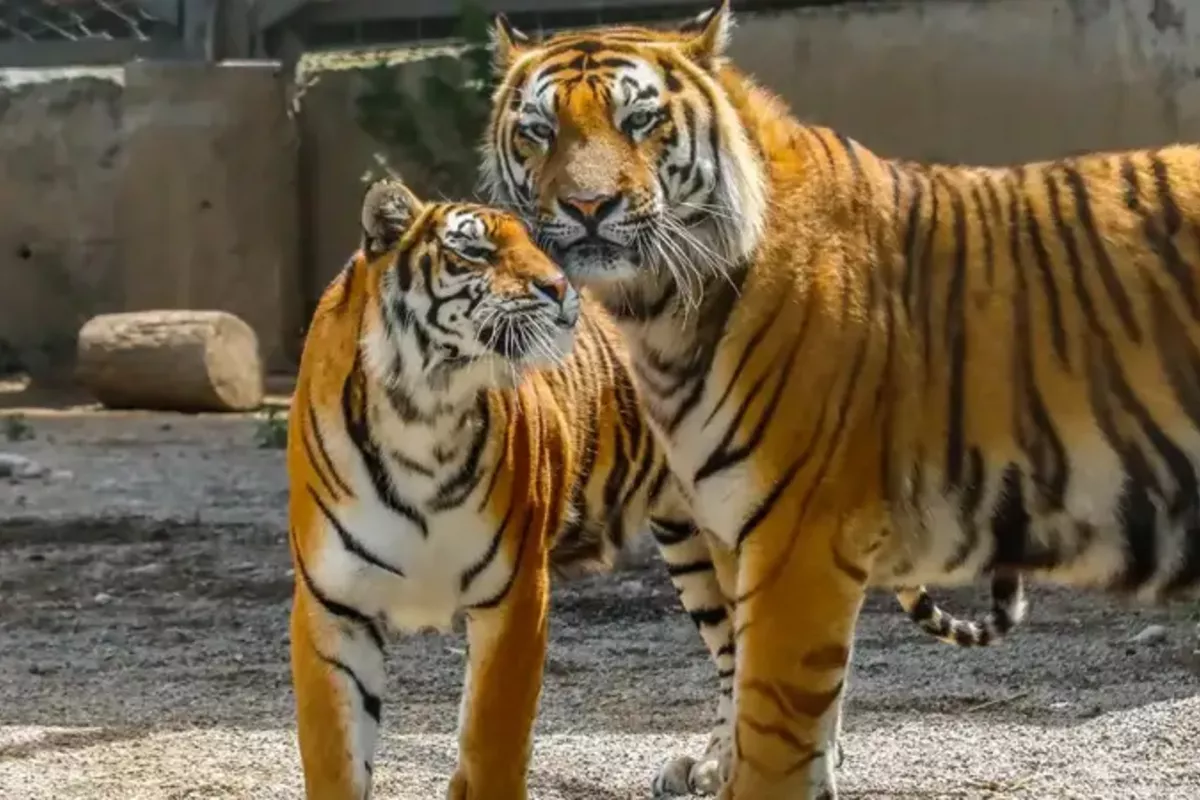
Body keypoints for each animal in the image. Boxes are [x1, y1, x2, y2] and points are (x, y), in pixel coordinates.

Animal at [286, 176, 1025, 798]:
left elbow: (493, 745)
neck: (425, 410)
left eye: (538, 247)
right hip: (690, 542)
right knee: (736, 658)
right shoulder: (332, 605)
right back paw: (715, 764)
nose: (560, 290)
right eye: (474, 251)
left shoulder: (516, 593)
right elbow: (335, 757)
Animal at [480, 2, 1200, 798]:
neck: (663, 310)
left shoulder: (799, 535)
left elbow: (773, 733)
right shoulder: (734, 527)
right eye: (539, 129)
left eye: (639, 120)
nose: (586, 206)